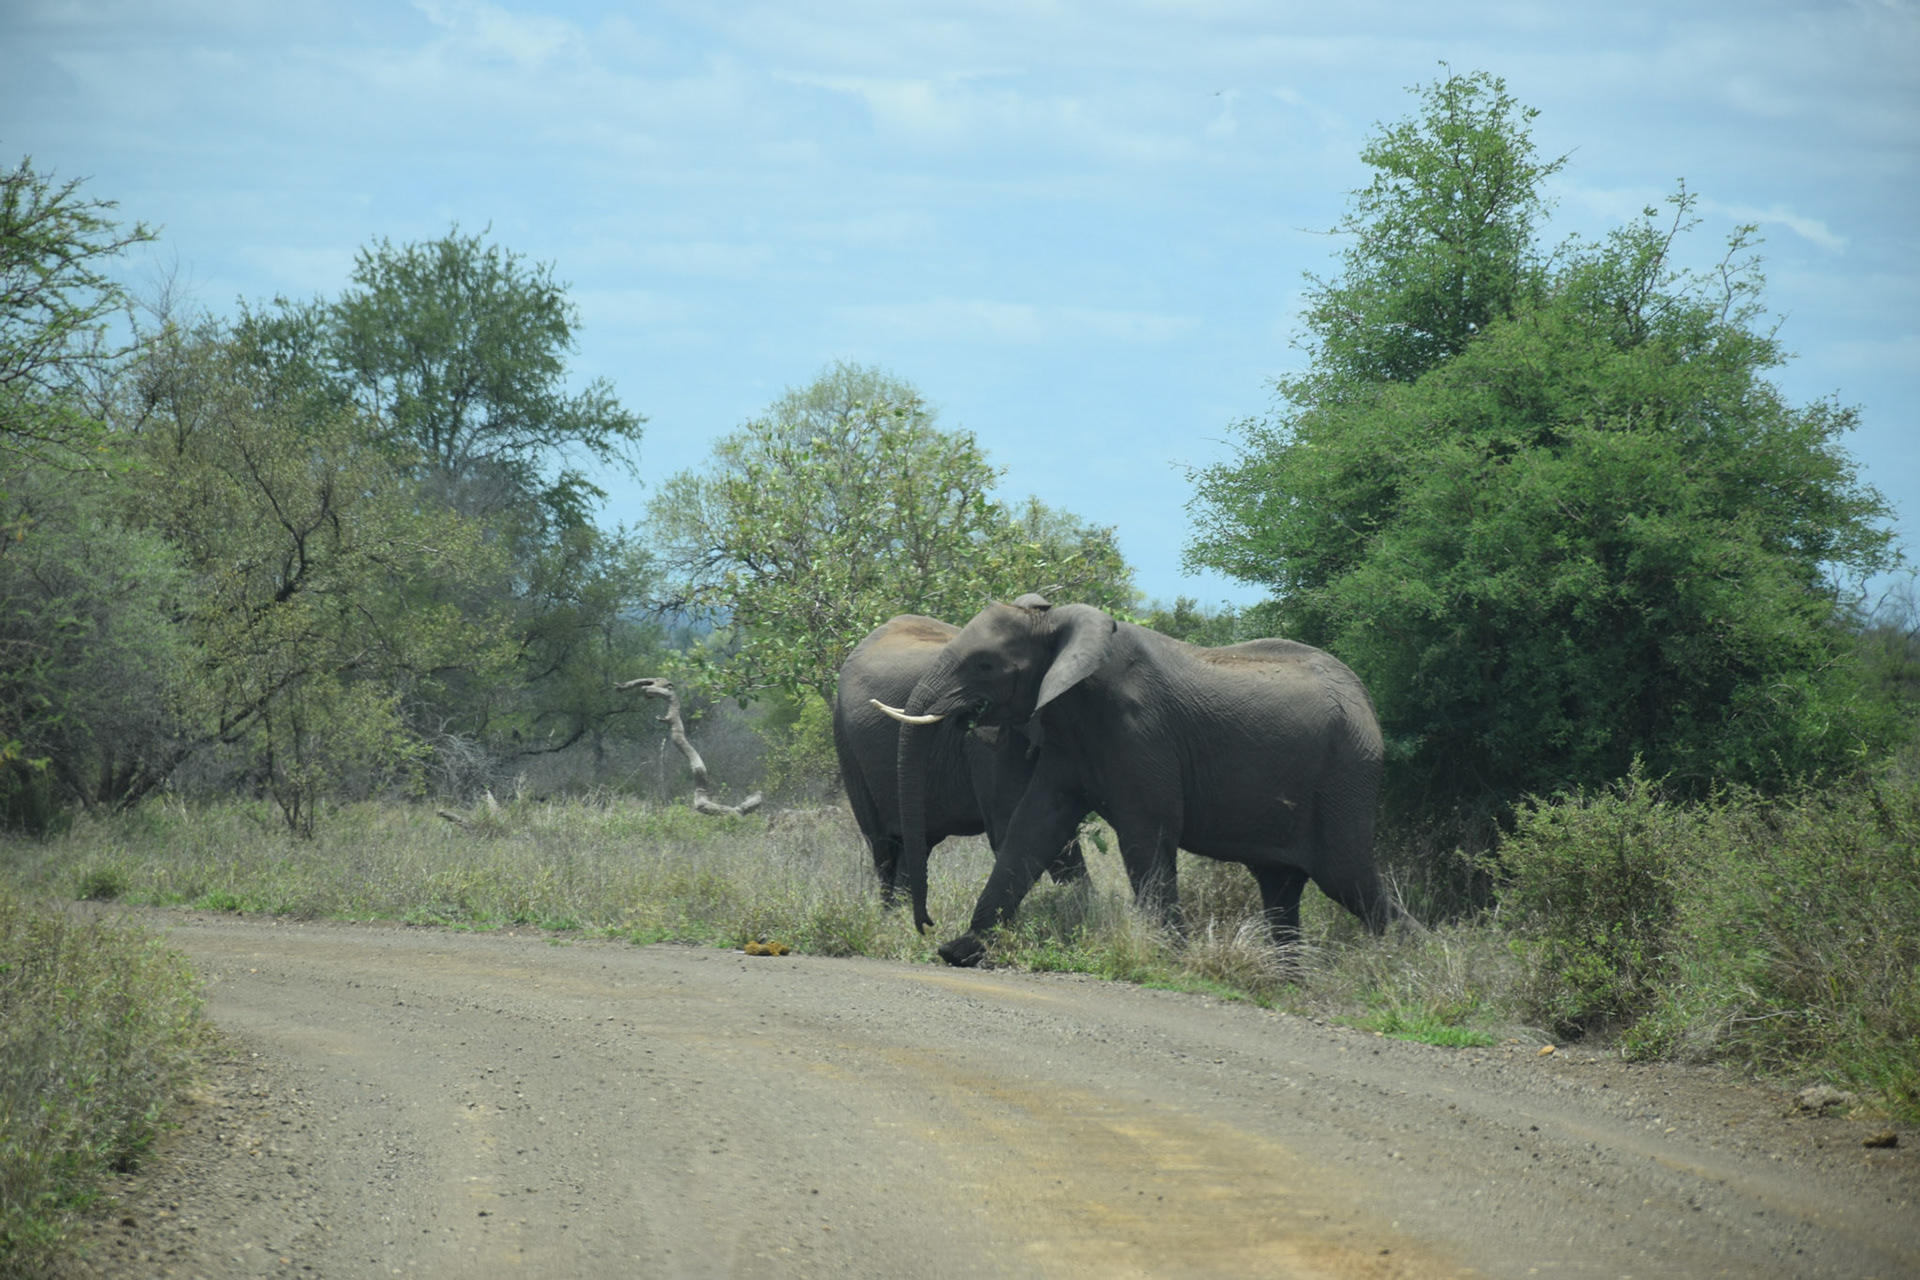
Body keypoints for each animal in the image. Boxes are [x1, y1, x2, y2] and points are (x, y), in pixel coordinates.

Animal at [877, 598, 1396, 966]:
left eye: (984, 664)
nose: (925, 923)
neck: (1058, 624)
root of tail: (1368, 702)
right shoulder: (1069, 742)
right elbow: (1034, 826)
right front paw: (961, 951)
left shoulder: (1139, 730)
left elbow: (1146, 834)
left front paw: (1170, 959)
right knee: (1281, 888)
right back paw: (1290, 978)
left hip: (1345, 776)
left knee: (1350, 879)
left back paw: (1398, 961)